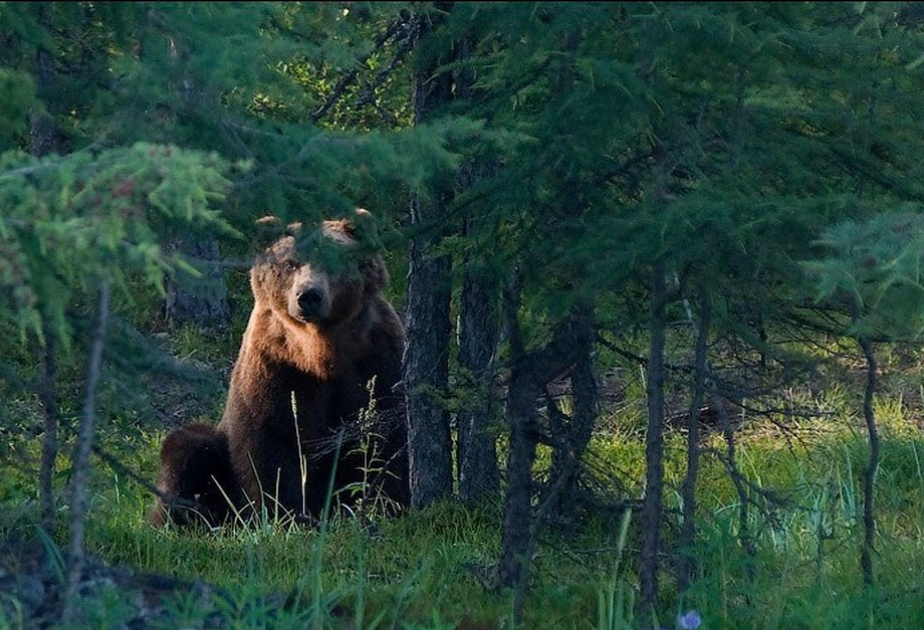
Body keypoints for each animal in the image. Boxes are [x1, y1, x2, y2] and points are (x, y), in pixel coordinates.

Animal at [152, 208, 410, 527]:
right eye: (290, 263)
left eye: (334, 259)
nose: (308, 295)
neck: (319, 352)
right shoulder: (276, 367)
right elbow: (270, 445)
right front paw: (284, 515)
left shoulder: (375, 358)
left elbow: (386, 434)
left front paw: (388, 504)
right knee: (187, 449)